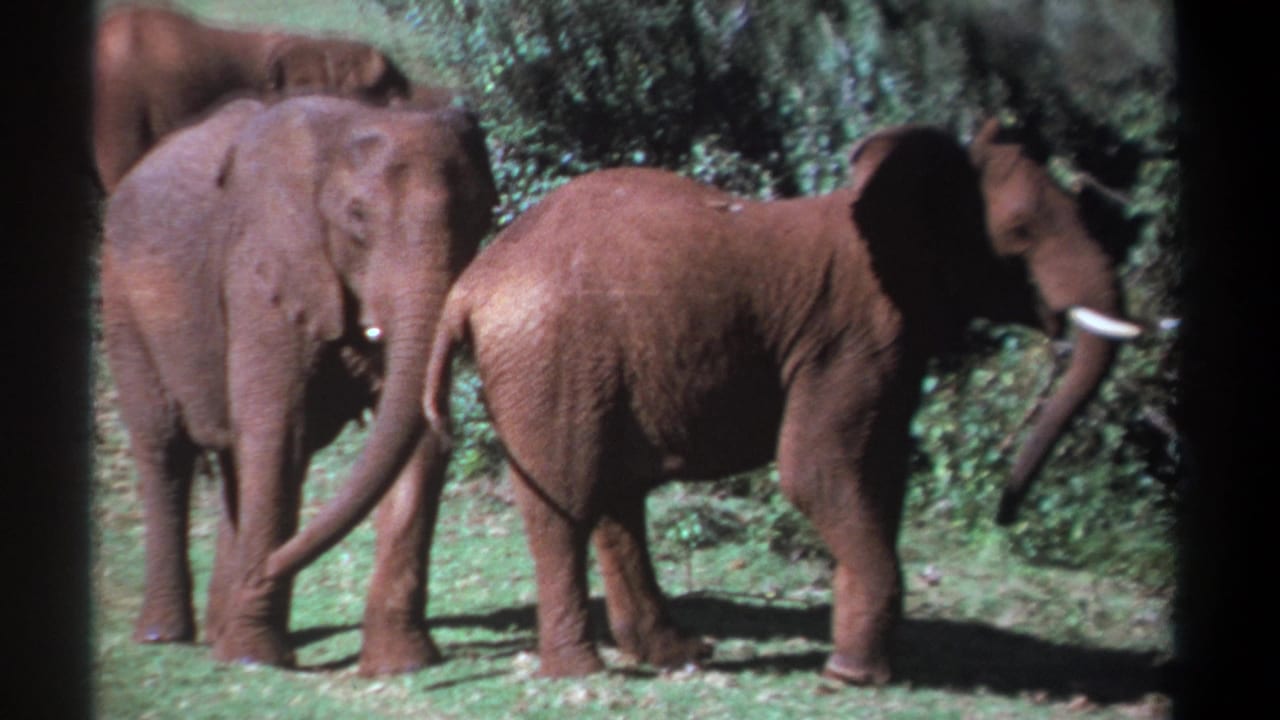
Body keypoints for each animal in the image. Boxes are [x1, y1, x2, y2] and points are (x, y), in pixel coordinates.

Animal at [101, 93, 497, 675]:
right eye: (357, 217)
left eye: (481, 212)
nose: (262, 574)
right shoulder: (262, 268)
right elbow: (278, 429)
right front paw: (253, 657)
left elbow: (414, 439)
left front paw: (402, 665)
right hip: (124, 302)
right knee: (166, 450)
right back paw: (168, 635)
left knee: (234, 458)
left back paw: (220, 630)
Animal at [420, 119, 1142, 683]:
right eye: (1020, 232)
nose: (1005, 512)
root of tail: (470, 286)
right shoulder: (852, 336)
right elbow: (817, 471)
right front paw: (853, 677)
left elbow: (880, 475)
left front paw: (863, 667)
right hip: (549, 357)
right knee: (566, 506)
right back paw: (583, 672)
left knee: (616, 501)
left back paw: (680, 654)